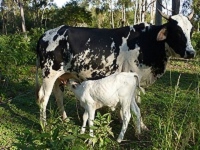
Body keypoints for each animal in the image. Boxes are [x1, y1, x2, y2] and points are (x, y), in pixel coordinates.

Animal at [35, 11, 195, 127]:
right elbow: (135, 106)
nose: (191, 52)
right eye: (177, 31)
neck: (147, 41)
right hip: (49, 74)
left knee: (58, 96)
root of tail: (46, 34)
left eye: (191, 31)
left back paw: (65, 119)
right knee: (43, 97)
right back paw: (44, 125)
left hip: (60, 76)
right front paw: (140, 126)